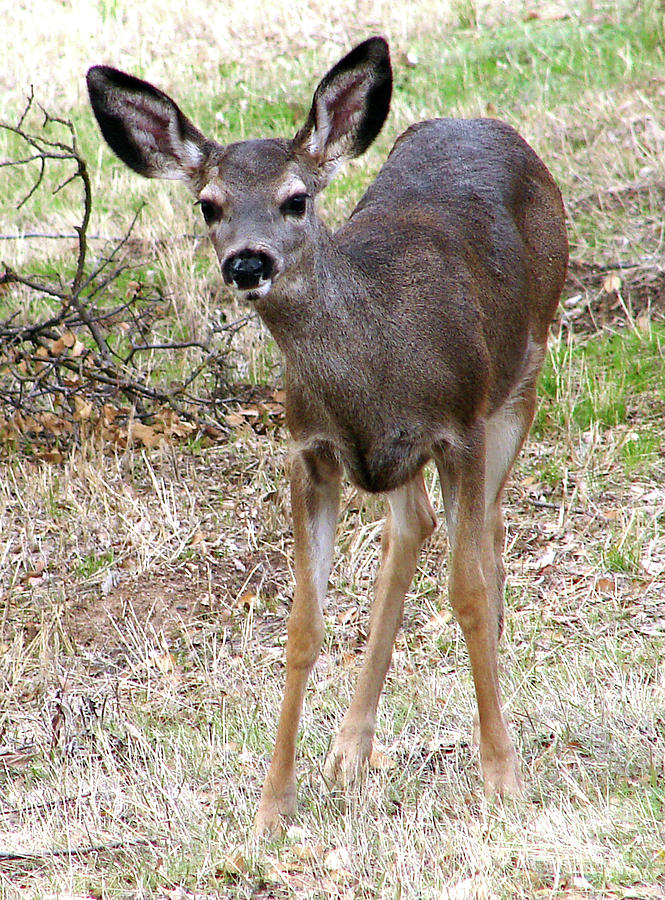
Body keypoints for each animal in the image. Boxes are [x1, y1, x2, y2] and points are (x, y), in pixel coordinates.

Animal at [87, 35, 564, 836]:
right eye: (209, 205)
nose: (246, 262)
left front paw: (501, 779)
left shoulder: (460, 426)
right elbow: (303, 625)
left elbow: (466, 591)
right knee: (413, 525)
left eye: (295, 199)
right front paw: (271, 806)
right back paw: (348, 749)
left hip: (520, 379)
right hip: (399, 459)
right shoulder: (309, 450)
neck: (372, 363)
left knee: (490, 531)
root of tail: (485, 123)